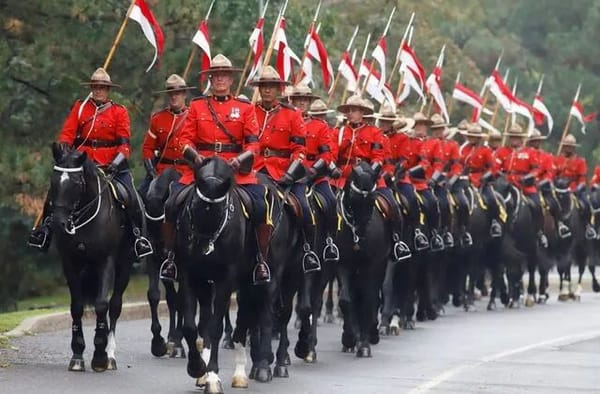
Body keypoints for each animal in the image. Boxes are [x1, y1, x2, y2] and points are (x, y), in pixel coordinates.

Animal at [47, 143, 135, 370]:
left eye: (76, 183)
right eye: (53, 181)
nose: (58, 224)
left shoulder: (106, 261)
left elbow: (102, 305)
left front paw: (100, 355)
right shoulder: (69, 261)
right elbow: (77, 306)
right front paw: (77, 354)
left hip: (125, 266)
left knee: (115, 306)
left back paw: (110, 354)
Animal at [338, 162, 390, 358]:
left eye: (372, 199)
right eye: (353, 198)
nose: (361, 233)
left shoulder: (372, 265)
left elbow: (369, 301)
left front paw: (365, 344)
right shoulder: (343, 264)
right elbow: (346, 300)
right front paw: (350, 338)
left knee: (373, 297)